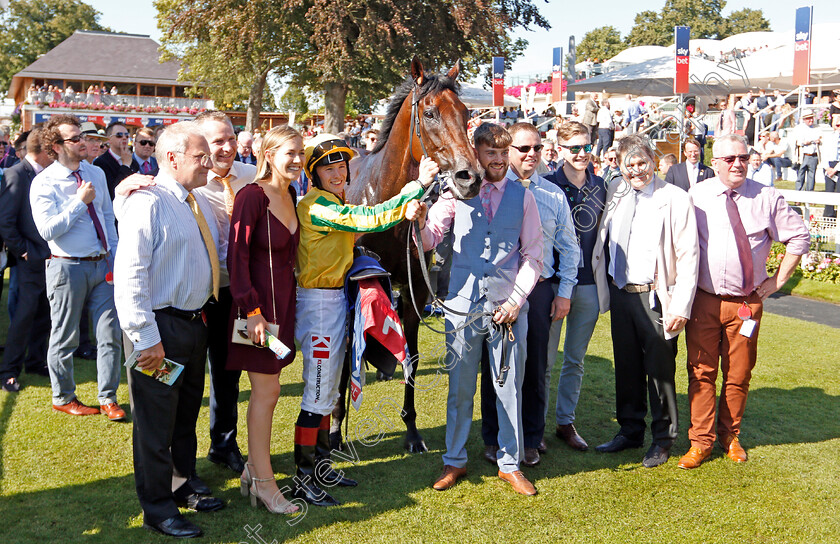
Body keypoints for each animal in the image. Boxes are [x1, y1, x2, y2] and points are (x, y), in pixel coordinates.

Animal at [332, 57, 482, 452]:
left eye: (466, 113)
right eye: (429, 113)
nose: (470, 177)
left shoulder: (415, 292)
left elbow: (411, 357)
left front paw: (412, 430)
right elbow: (345, 356)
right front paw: (335, 427)